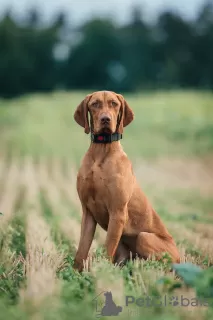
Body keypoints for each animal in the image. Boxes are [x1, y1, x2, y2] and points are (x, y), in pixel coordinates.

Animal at [73, 90, 180, 272]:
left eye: (114, 104)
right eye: (95, 104)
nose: (105, 119)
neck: (101, 152)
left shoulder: (117, 213)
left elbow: (107, 248)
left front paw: (102, 274)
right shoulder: (87, 213)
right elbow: (81, 251)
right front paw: (74, 274)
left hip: (144, 237)